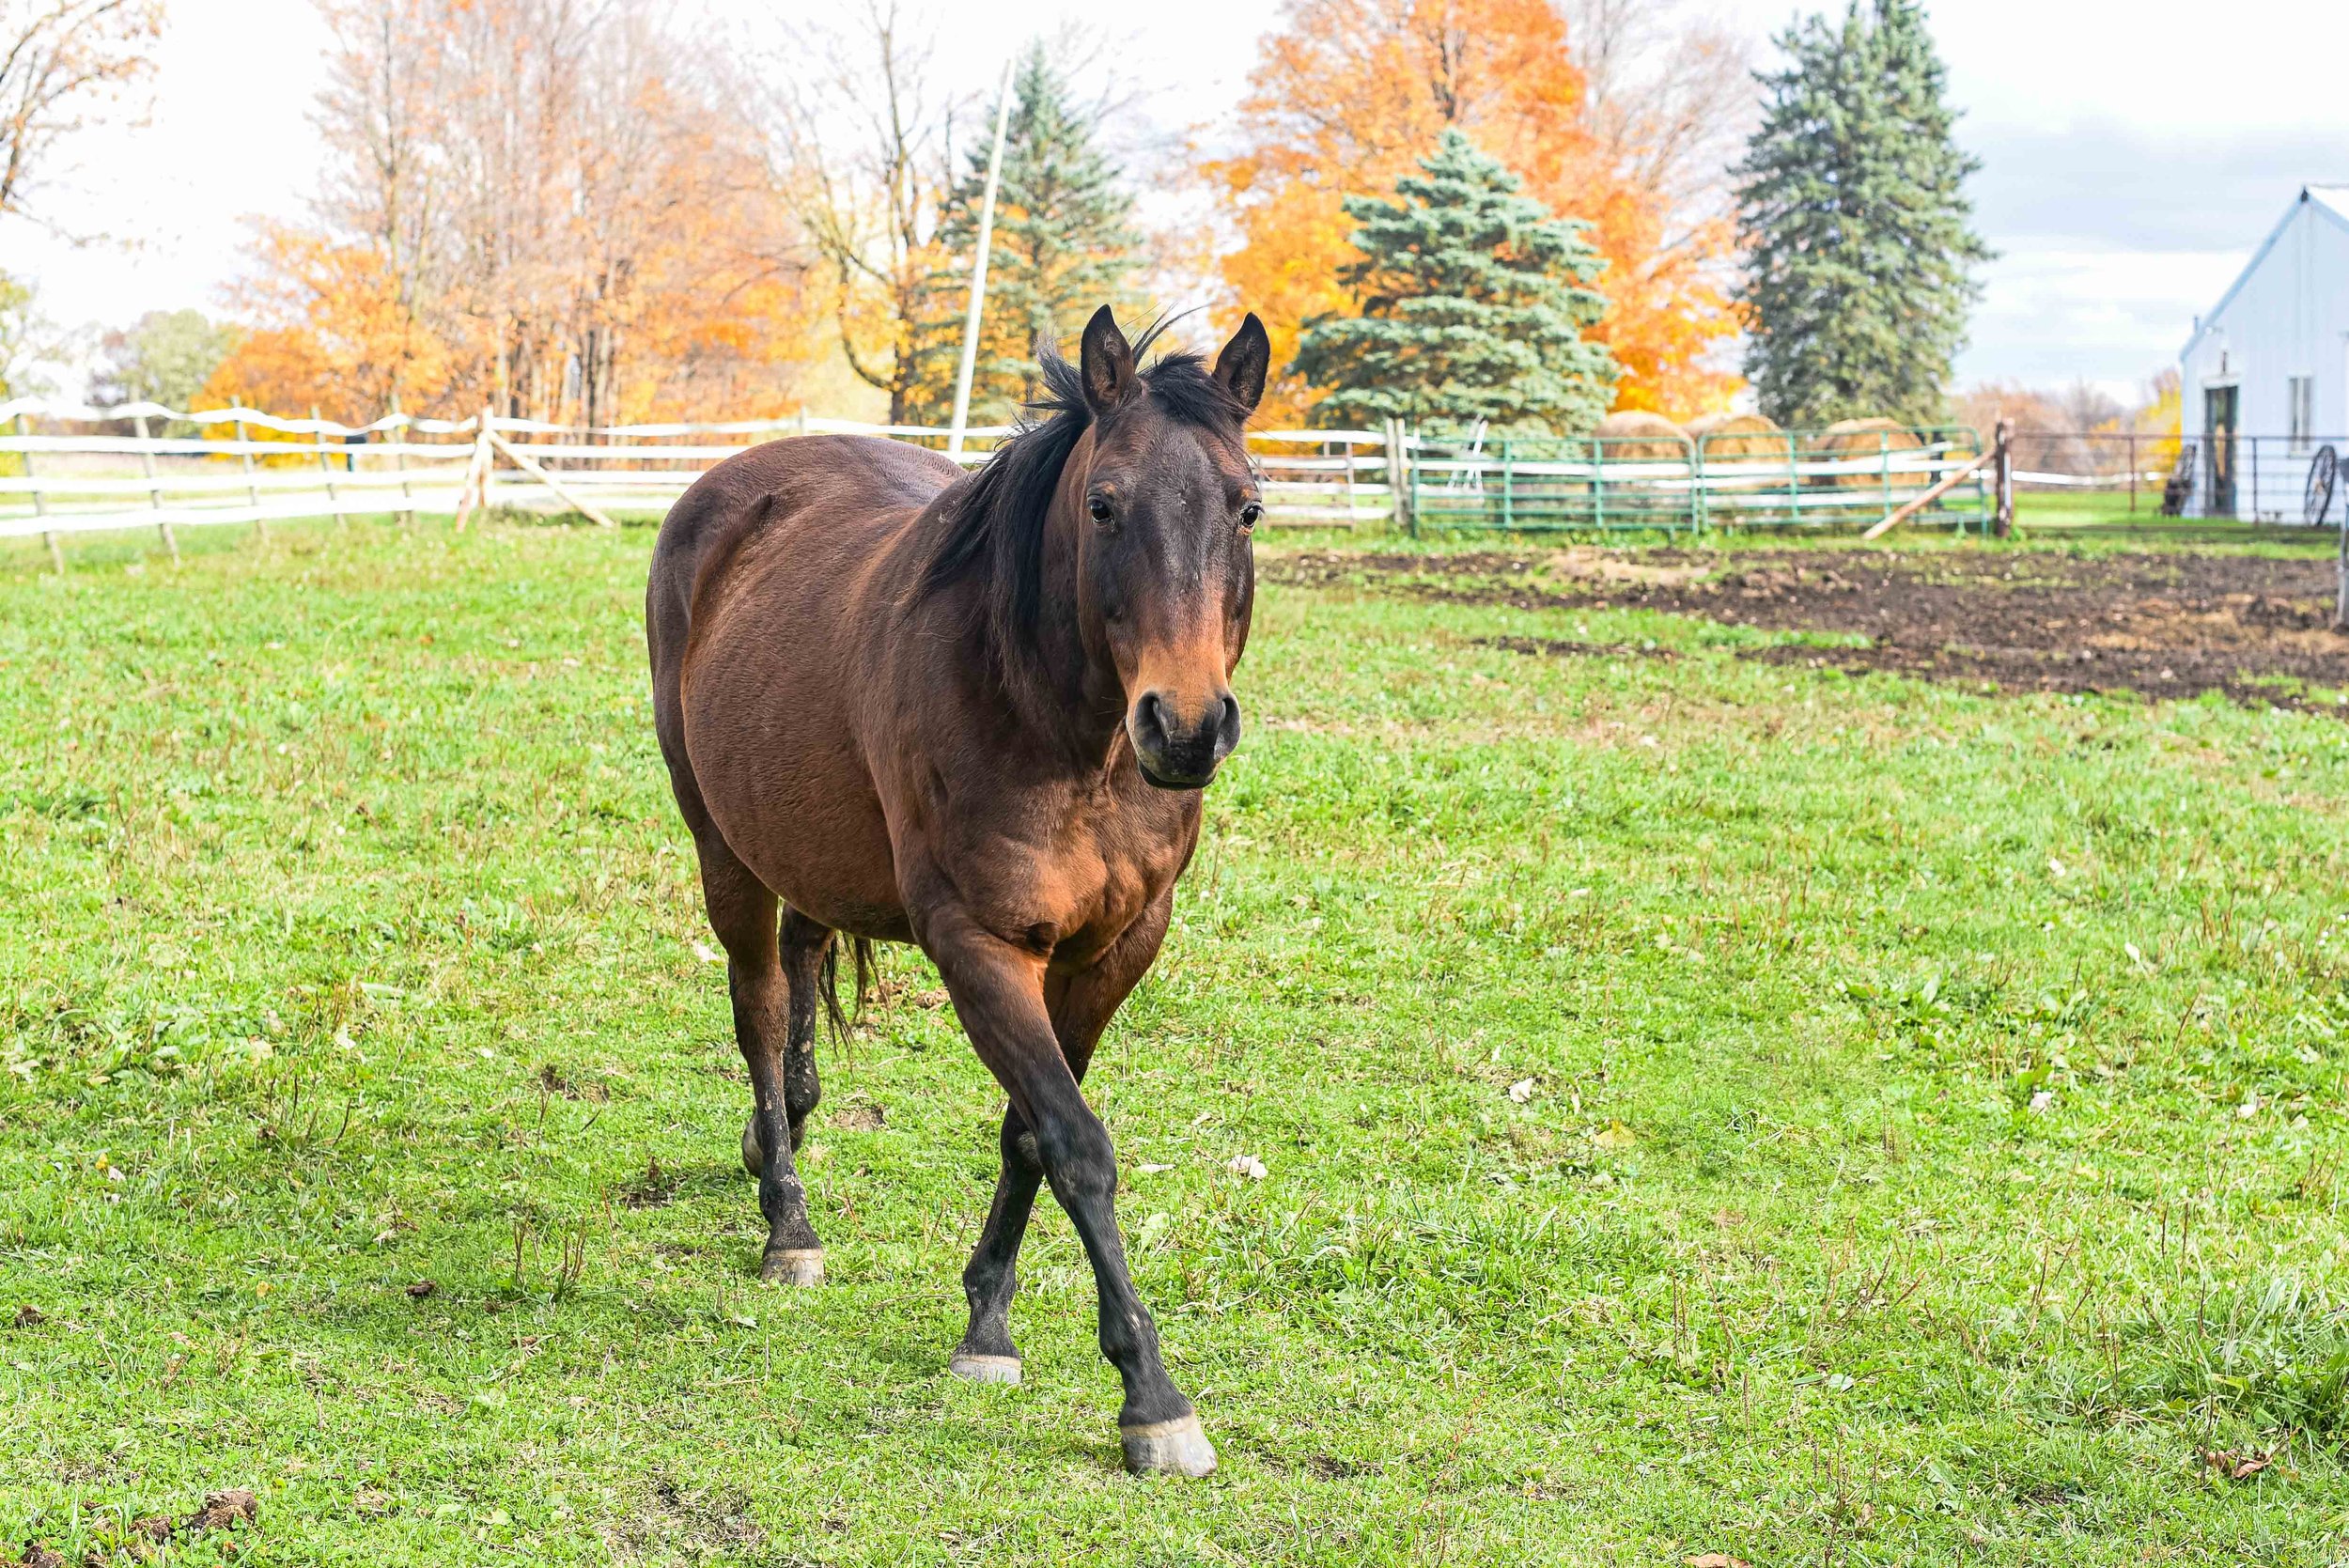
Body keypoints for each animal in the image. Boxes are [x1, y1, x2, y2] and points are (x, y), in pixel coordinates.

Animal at [644, 309, 1268, 1483]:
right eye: (1103, 503)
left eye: (1246, 506)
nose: (1185, 726)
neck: (1064, 735)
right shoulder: (979, 944)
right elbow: (1076, 1142)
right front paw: (1152, 1397)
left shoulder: (1114, 950)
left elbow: (1029, 1132)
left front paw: (987, 1322)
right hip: (722, 849)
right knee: (759, 1009)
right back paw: (786, 1219)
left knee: (802, 957)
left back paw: (786, 1122)